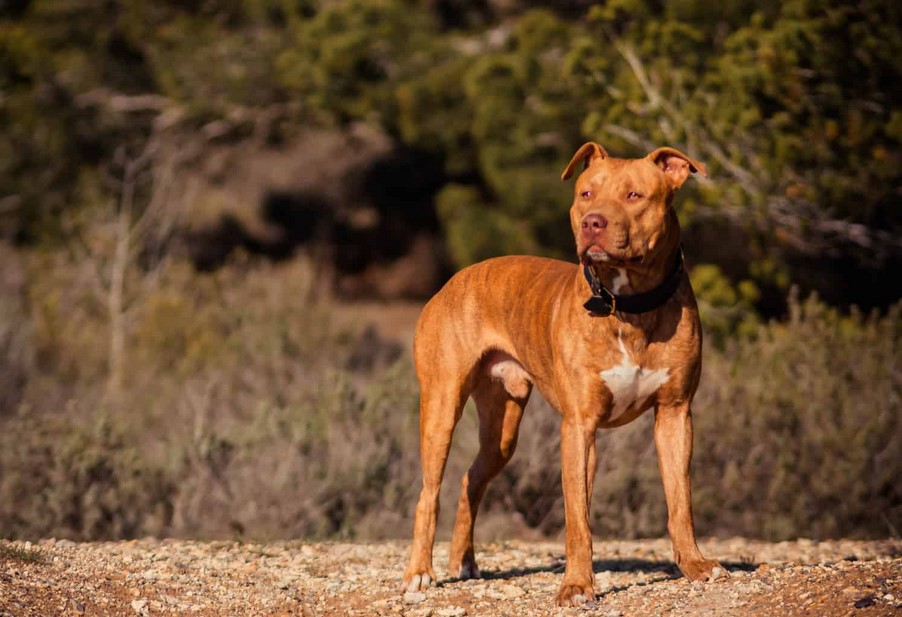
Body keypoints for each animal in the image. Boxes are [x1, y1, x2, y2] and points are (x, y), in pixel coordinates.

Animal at [402, 142, 728, 604]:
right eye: (586, 194)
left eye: (634, 195)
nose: (593, 222)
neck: (626, 304)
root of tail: (452, 279)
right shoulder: (578, 425)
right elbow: (577, 518)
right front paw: (576, 585)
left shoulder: (675, 413)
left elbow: (680, 500)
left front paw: (695, 565)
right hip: (442, 405)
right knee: (428, 492)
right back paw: (419, 572)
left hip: (502, 427)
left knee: (471, 478)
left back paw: (464, 561)